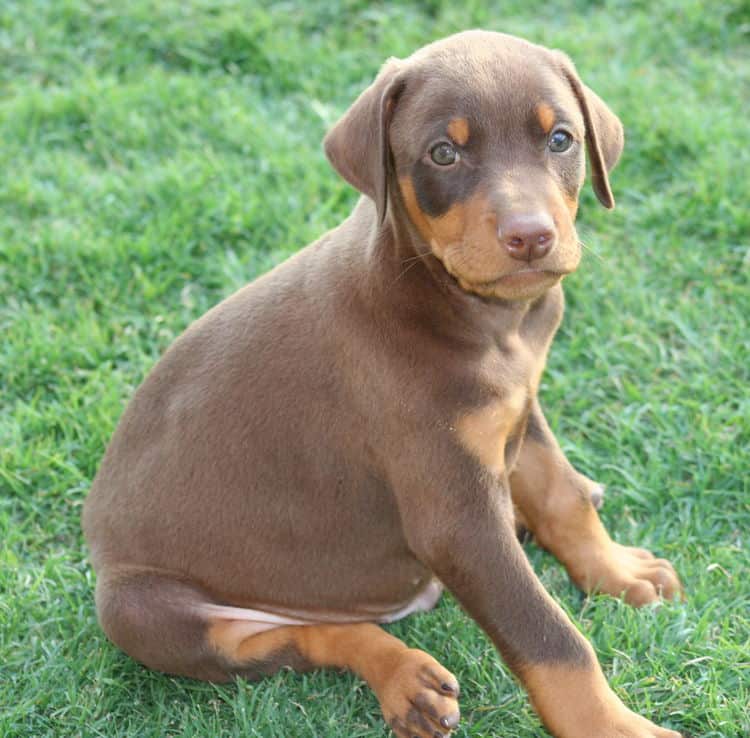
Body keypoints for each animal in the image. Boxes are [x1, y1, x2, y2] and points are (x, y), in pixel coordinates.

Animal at [83, 30, 688, 736]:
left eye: (560, 139)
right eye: (444, 152)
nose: (531, 236)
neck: (478, 315)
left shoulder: (520, 402)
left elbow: (560, 492)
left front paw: (613, 569)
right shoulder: (455, 518)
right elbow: (548, 634)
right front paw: (615, 726)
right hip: (147, 612)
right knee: (308, 637)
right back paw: (405, 679)